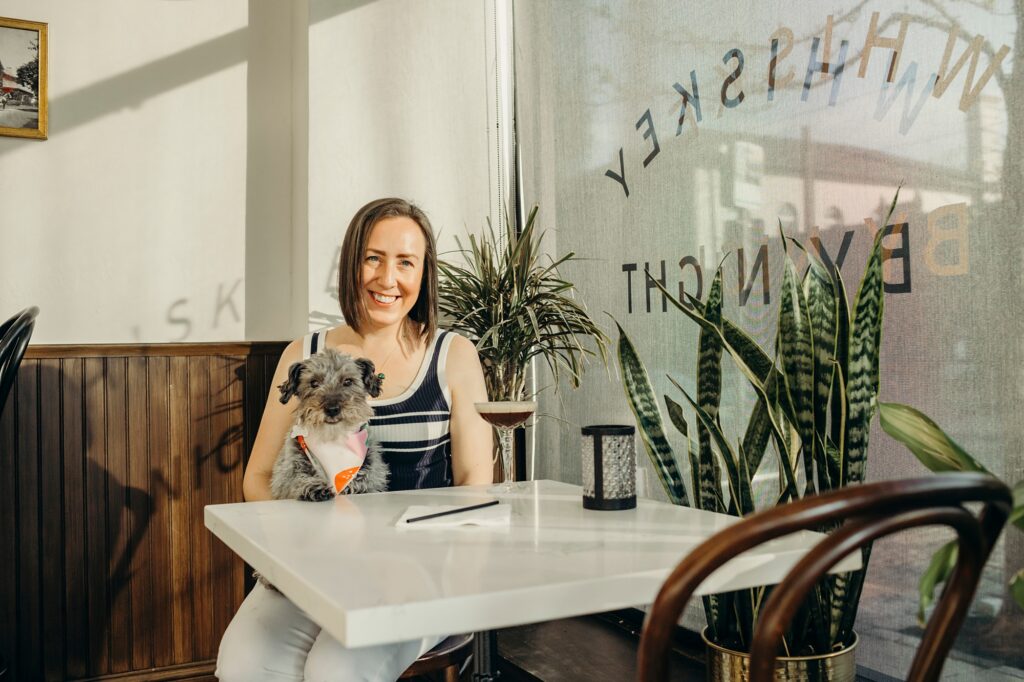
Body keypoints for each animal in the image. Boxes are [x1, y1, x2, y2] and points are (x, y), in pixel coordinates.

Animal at [270, 346, 389, 499]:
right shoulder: (285, 479)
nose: (332, 409)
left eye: (348, 381)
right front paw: (312, 485)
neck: (333, 443)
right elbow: (297, 479)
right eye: (313, 383)